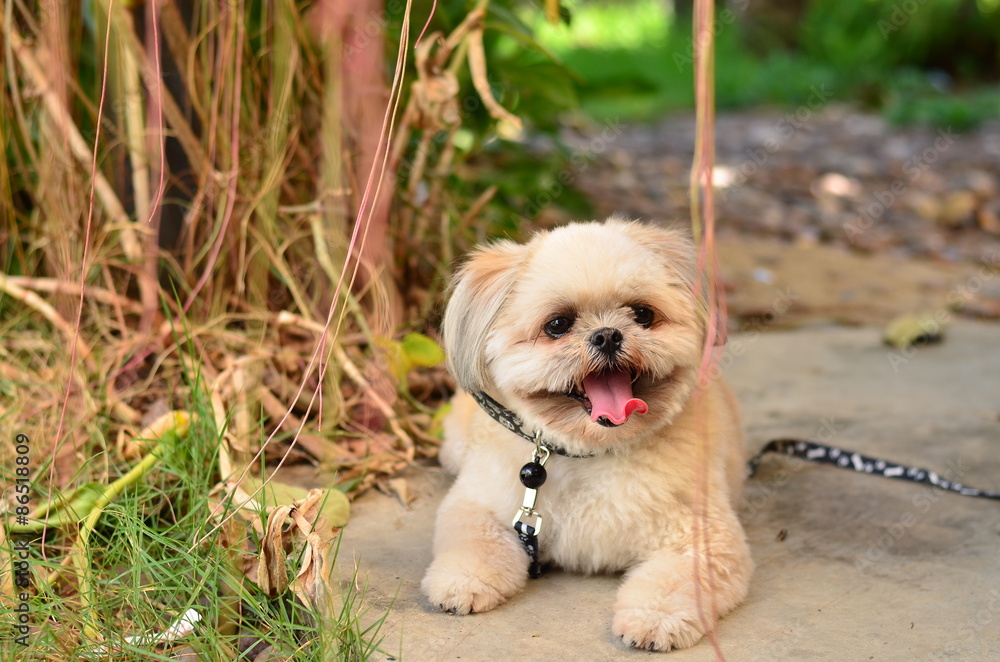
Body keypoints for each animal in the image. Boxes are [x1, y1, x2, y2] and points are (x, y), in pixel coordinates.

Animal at [422, 219, 752, 652]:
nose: (608, 335)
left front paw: (655, 618)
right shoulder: (481, 505)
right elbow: (474, 541)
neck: (591, 452)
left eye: (643, 314)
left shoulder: (701, 536)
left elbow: (676, 581)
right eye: (557, 325)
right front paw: (462, 579)